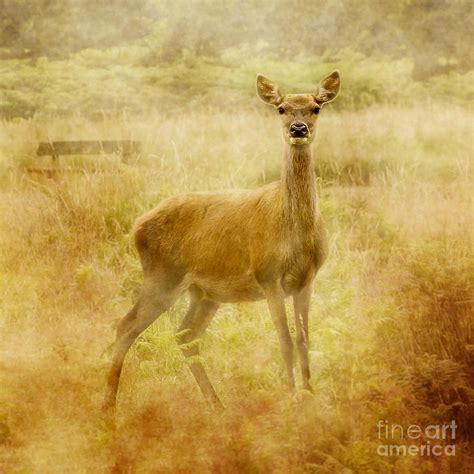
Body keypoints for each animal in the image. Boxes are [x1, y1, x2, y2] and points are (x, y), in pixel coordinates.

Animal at [103, 69, 340, 412]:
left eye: (316, 108)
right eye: (281, 108)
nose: (298, 129)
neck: (293, 231)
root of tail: (137, 225)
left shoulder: (306, 280)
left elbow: (304, 339)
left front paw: (311, 396)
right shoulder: (267, 275)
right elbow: (284, 339)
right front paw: (292, 396)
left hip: (204, 292)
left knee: (185, 334)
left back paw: (216, 403)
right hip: (163, 275)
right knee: (126, 325)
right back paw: (108, 406)